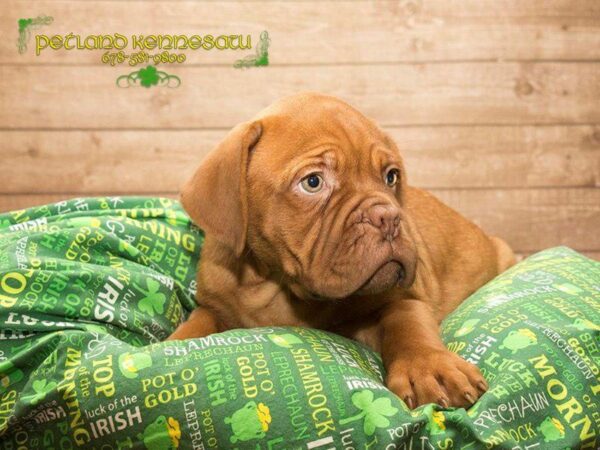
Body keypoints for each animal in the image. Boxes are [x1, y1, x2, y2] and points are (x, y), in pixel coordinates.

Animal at [169, 91, 516, 408]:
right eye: (313, 182)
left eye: (391, 177)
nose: (389, 217)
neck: (277, 286)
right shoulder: (214, 305)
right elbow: (197, 322)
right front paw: (168, 350)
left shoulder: (399, 298)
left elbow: (407, 321)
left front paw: (428, 366)